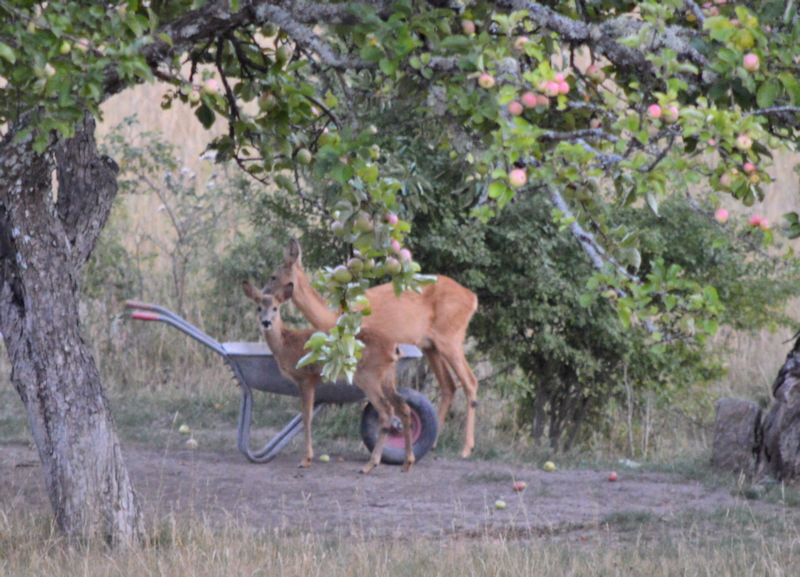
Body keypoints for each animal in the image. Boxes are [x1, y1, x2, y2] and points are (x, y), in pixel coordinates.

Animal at [241, 280, 416, 472]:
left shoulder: (305, 378)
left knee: (386, 411)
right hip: (387, 377)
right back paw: (407, 463)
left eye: (275, 308)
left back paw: (370, 465)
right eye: (258, 307)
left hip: (368, 376)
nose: (266, 322)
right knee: (403, 408)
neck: (286, 344)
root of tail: (394, 348)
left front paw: (306, 459)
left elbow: (306, 416)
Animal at [268, 236, 482, 456]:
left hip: (451, 338)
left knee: (470, 381)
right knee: (449, 385)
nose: (265, 295)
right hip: (430, 346)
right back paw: (433, 442)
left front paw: (370, 443)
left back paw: (466, 448)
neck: (335, 316)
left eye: (273, 276)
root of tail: (472, 298)